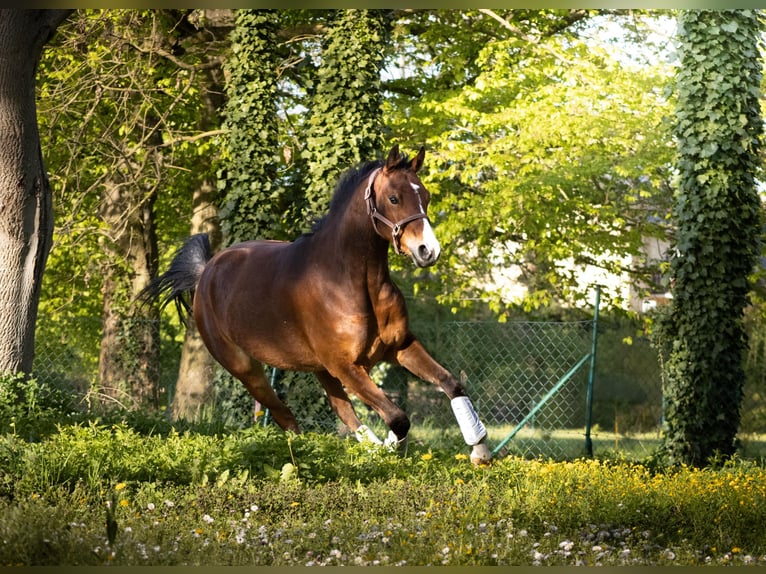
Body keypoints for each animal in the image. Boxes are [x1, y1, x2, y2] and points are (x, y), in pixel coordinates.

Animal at [142, 145, 491, 464]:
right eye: (394, 198)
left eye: (426, 197)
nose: (427, 251)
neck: (350, 282)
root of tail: (205, 273)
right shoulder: (346, 366)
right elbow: (398, 417)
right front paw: (392, 451)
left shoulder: (399, 347)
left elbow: (451, 384)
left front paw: (480, 451)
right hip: (247, 369)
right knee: (285, 415)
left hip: (320, 369)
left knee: (341, 411)